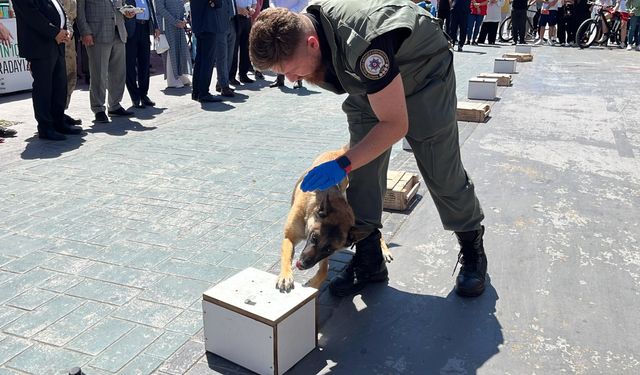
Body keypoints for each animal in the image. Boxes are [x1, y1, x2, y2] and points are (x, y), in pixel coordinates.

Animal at [278, 150, 392, 294]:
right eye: (314, 238)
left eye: (329, 249)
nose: (302, 265)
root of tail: (339, 152)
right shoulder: (289, 238)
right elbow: (286, 256)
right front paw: (285, 276)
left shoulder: (323, 256)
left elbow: (324, 271)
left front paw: (313, 284)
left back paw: (385, 250)